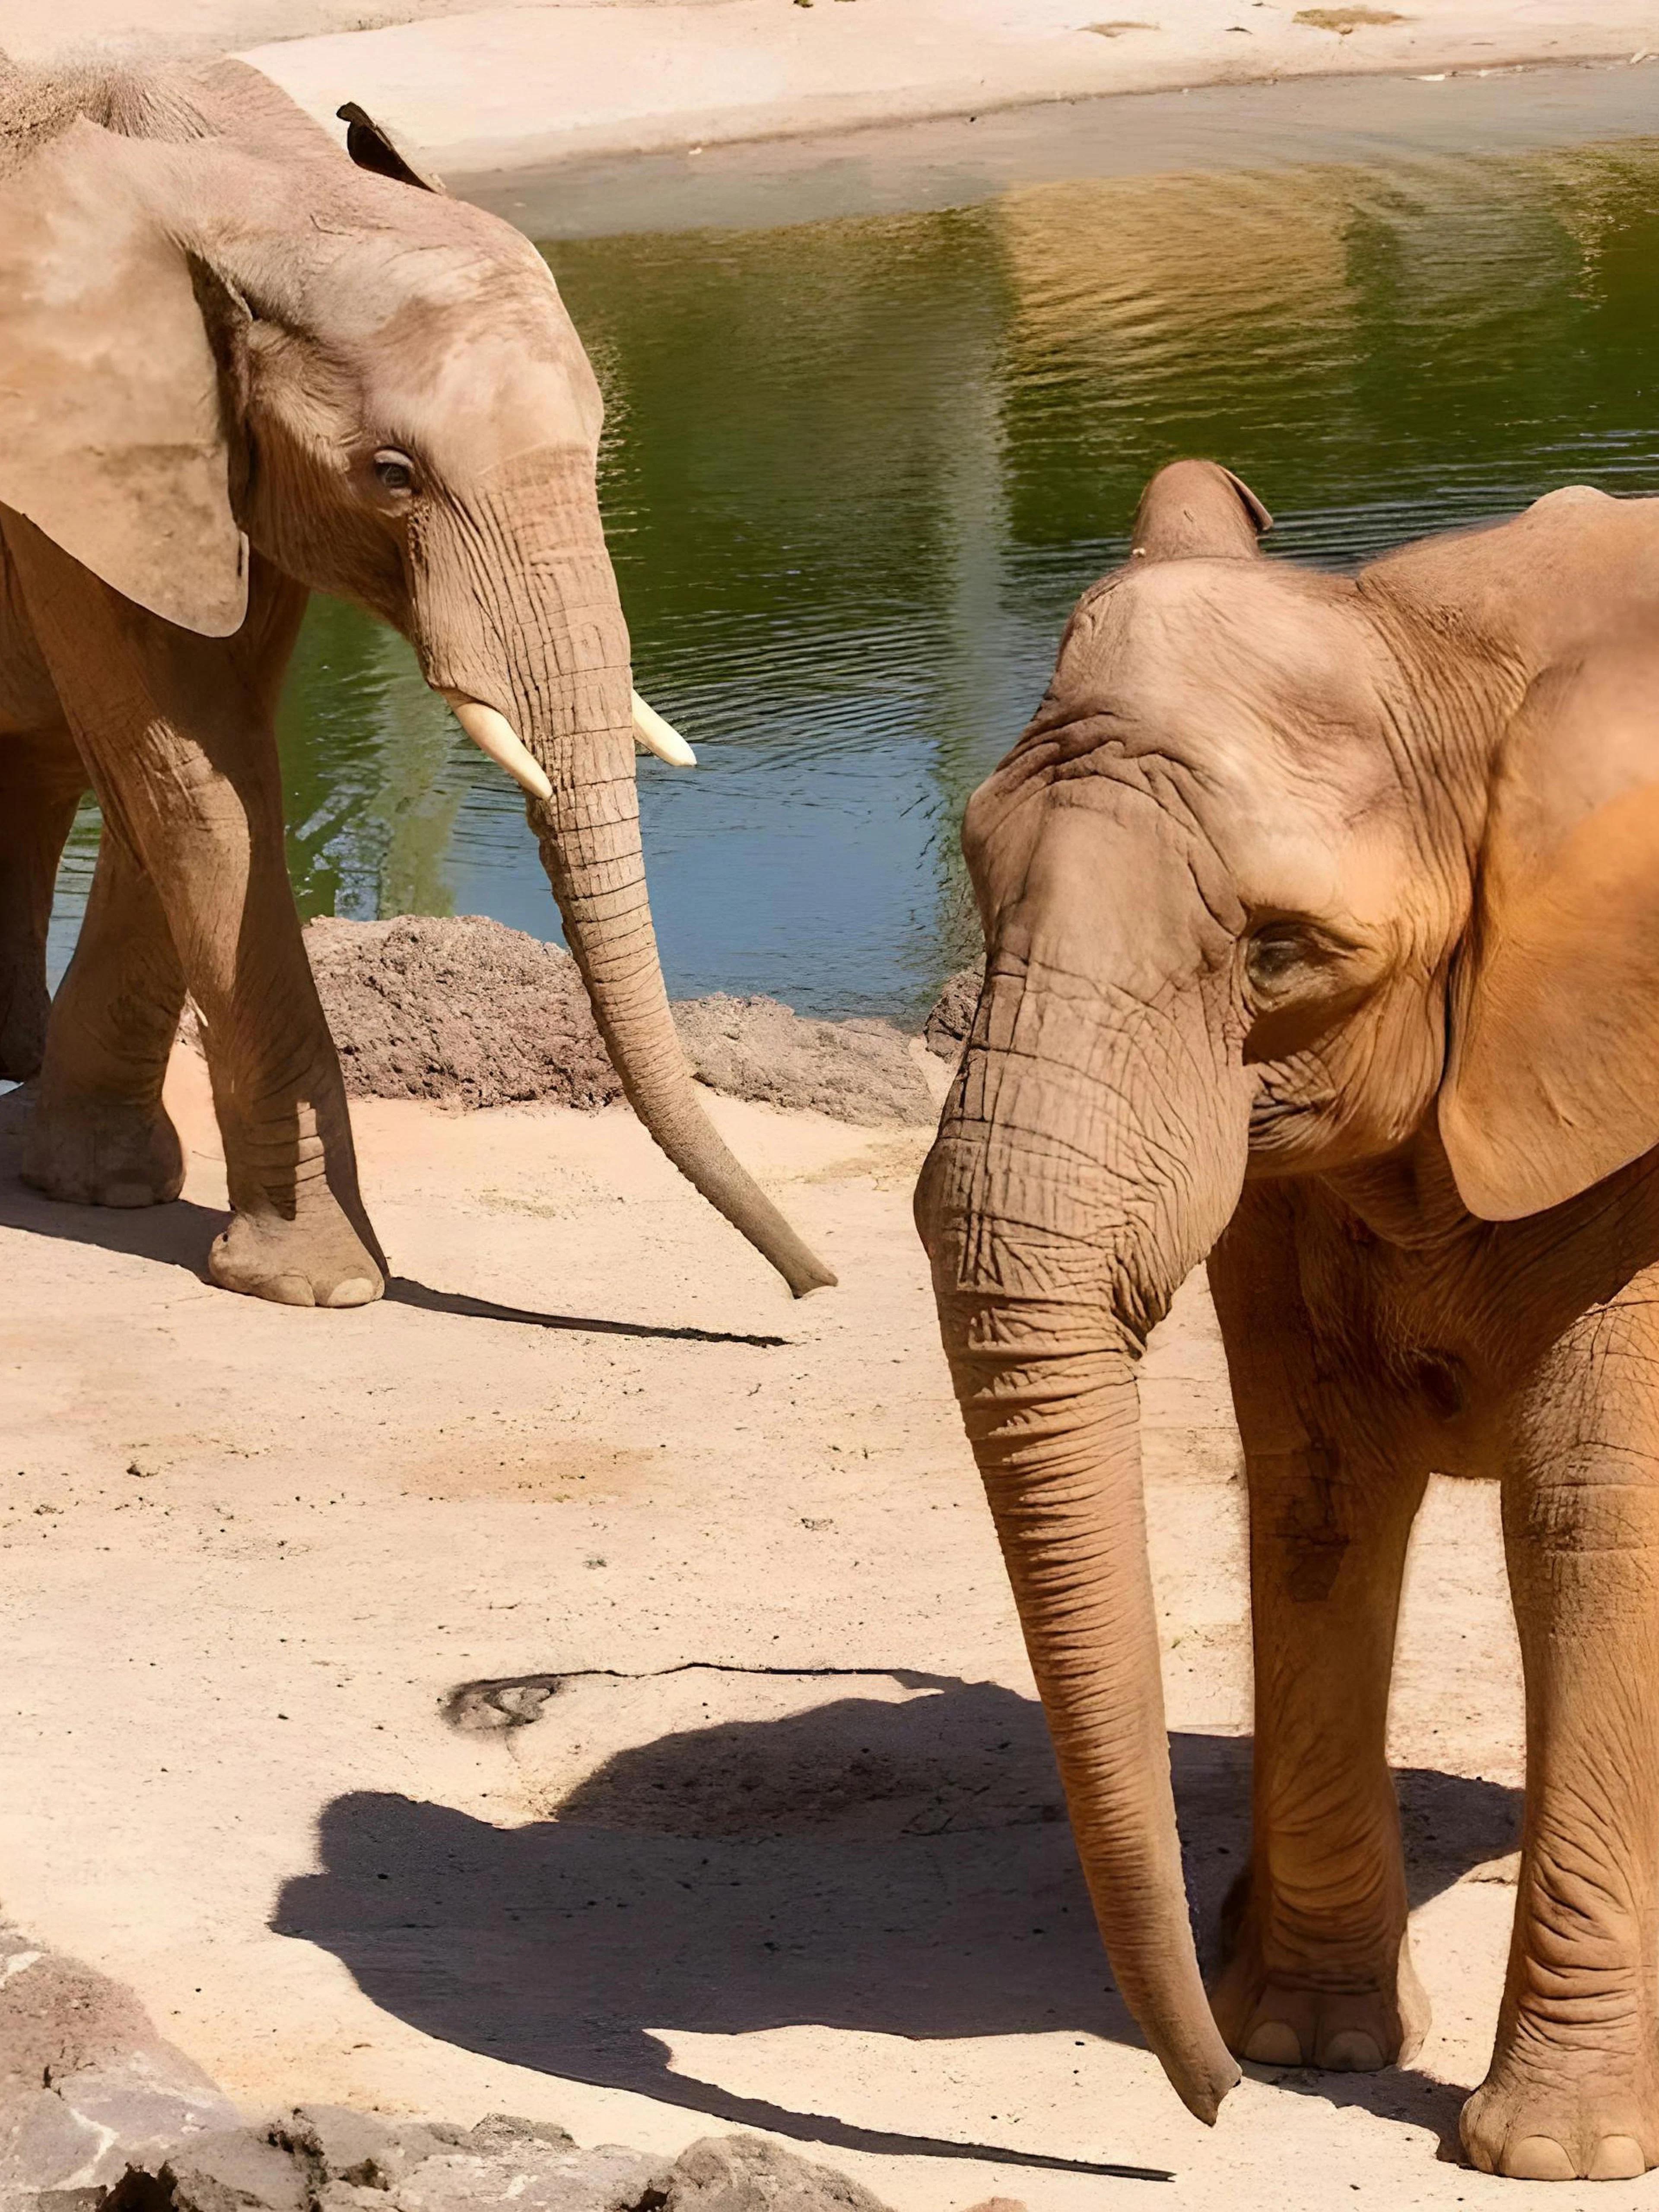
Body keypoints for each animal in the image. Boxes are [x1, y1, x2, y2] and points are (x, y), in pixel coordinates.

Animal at [0, 50, 832, 1308]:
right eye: (391, 475)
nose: (812, 1288)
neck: (251, 187)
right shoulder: (72, 453)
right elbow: (188, 773)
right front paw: (325, 1288)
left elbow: (193, 764)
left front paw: (103, 1189)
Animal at [917, 458, 1659, 2182]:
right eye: (976, 875)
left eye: (1278, 951)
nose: (1199, 2109)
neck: (1434, 640)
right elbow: (1318, 1493)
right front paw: (1301, 2041)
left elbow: (1592, 1523)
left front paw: (1551, 2157)